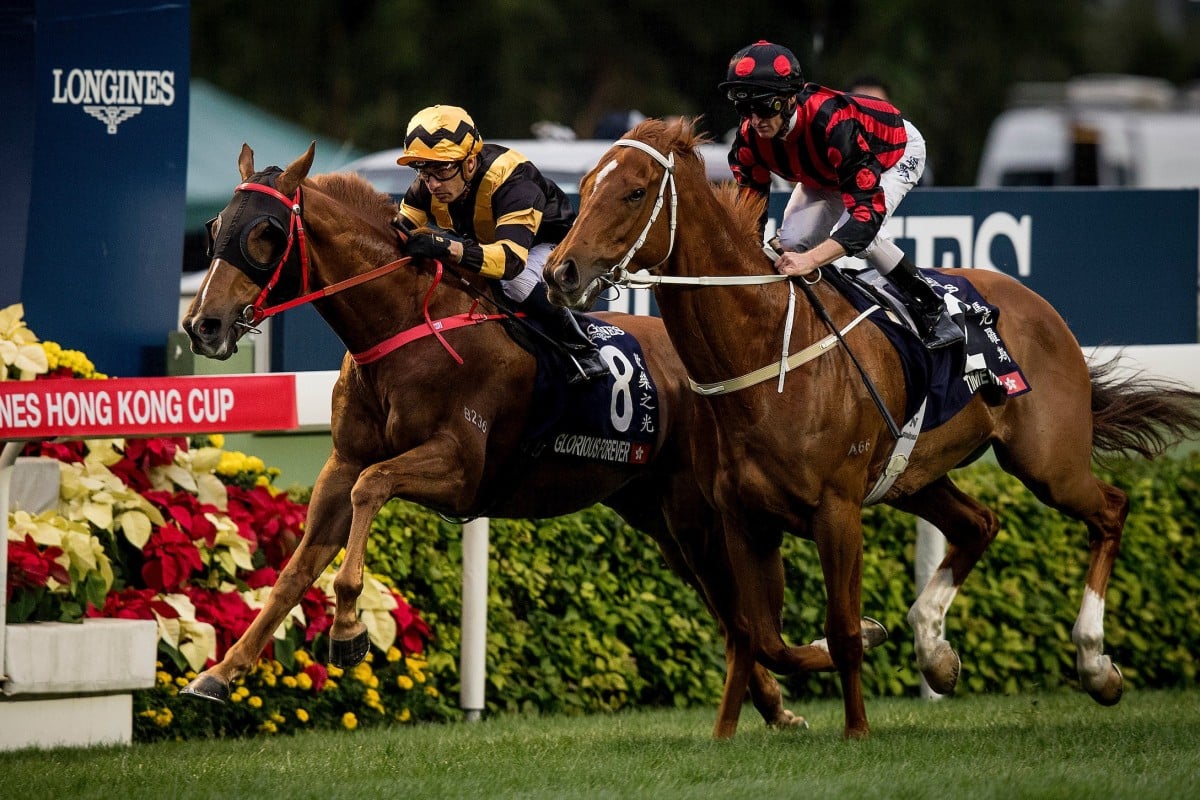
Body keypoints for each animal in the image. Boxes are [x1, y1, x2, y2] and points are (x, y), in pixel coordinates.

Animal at [177, 143, 883, 724]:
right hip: (664, 517)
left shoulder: (459, 467)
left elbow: (372, 491)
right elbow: (297, 567)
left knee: (743, 615)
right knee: (734, 615)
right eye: (214, 230)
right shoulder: (341, 463)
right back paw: (781, 700)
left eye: (266, 234)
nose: (202, 325)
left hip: (702, 511)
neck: (406, 326)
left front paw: (349, 628)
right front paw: (218, 674)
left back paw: (853, 642)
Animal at [549, 117, 1200, 738]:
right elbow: (759, 636)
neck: (765, 354)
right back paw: (935, 652)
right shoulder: (744, 519)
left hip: (1047, 461)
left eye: (634, 191)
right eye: (585, 186)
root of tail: (1038, 305)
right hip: (914, 477)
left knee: (1110, 509)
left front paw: (857, 726)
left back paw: (1095, 666)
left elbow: (836, 629)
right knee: (980, 523)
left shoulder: (836, 511)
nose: (561, 271)